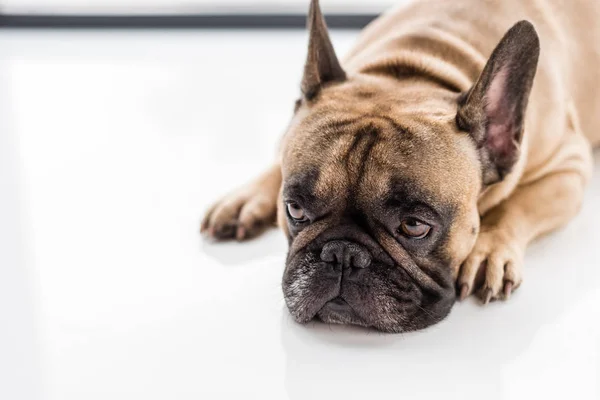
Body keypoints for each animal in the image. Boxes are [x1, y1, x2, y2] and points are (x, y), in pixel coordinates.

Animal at [202, 0, 600, 332]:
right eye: (294, 209)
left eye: (414, 226)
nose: (342, 255)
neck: (414, 72)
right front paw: (247, 198)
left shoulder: (568, 165)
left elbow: (514, 208)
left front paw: (488, 251)